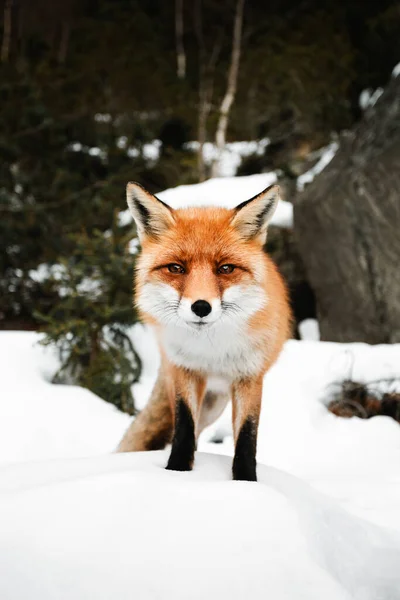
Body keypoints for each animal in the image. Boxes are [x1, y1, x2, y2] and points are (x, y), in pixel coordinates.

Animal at [117, 180, 292, 480]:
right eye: (176, 268)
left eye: (225, 268)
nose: (201, 307)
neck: (212, 351)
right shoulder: (186, 371)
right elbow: (184, 428)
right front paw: (176, 472)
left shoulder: (249, 377)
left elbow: (247, 435)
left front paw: (246, 482)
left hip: (216, 403)